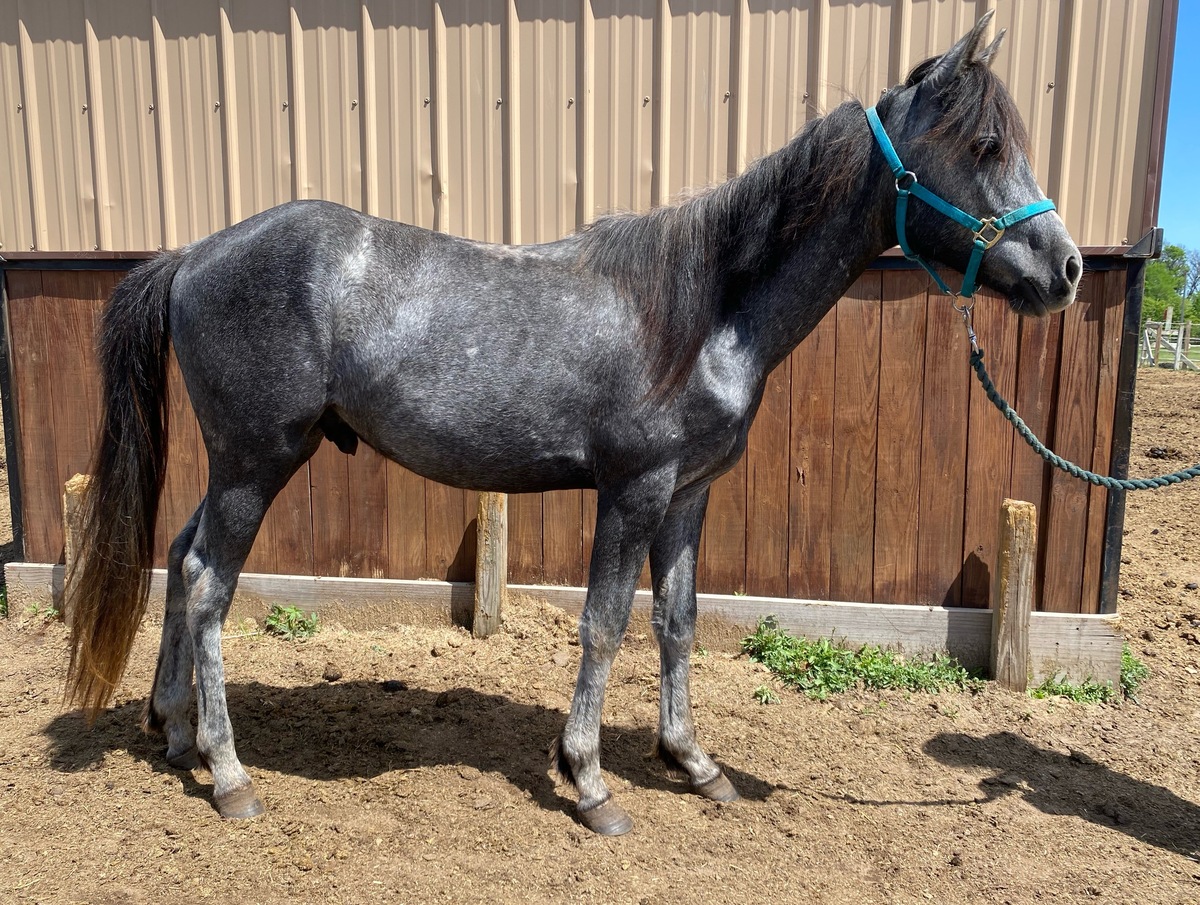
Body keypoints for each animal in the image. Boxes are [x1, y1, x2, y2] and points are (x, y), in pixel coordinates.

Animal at [65, 12, 1080, 835]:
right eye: (986, 143)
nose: (1066, 268)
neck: (704, 310)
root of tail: (194, 253)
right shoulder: (633, 492)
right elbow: (602, 625)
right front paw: (589, 780)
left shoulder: (688, 496)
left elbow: (677, 620)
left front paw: (693, 762)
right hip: (257, 458)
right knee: (206, 583)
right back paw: (229, 771)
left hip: (238, 461)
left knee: (180, 556)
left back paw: (174, 730)